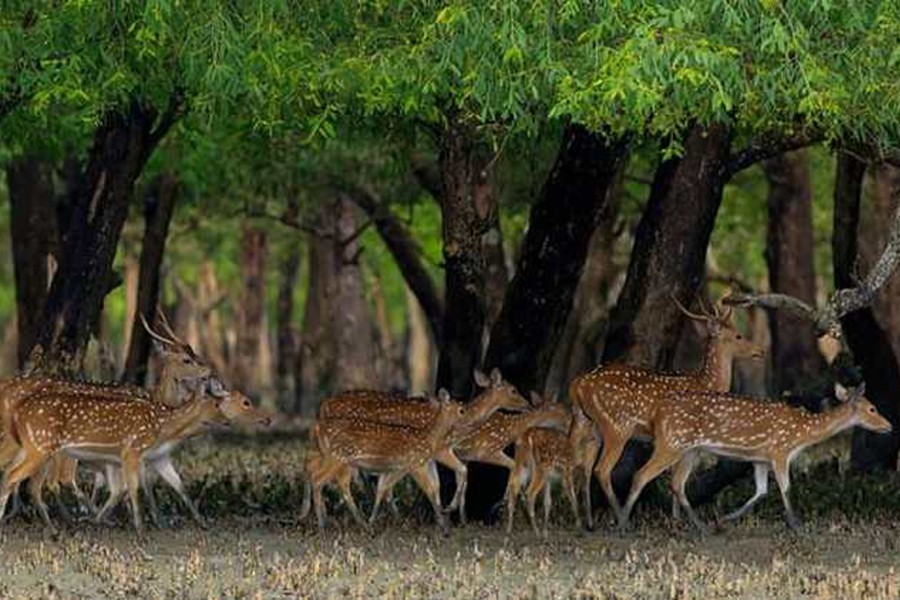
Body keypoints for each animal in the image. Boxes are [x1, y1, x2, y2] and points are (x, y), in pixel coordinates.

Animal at [306, 392, 468, 532]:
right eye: (462, 410)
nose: (470, 421)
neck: (429, 437)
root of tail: (316, 425)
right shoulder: (414, 463)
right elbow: (429, 489)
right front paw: (443, 524)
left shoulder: (399, 467)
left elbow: (383, 488)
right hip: (337, 458)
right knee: (318, 479)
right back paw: (323, 525)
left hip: (336, 459)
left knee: (321, 475)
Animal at [506, 404, 596, 536]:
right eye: (590, 424)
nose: (594, 437)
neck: (573, 451)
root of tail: (527, 437)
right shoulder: (566, 471)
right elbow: (573, 497)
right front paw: (579, 526)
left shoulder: (550, 478)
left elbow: (548, 502)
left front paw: (545, 531)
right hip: (541, 466)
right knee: (529, 493)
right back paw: (535, 531)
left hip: (522, 464)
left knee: (513, 486)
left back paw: (509, 528)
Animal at [572, 290, 764, 528]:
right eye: (738, 336)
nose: (760, 350)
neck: (705, 383)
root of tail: (579, 384)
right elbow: (677, 480)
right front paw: (678, 520)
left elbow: (674, 480)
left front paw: (675, 519)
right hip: (617, 426)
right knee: (602, 469)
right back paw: (621, 519)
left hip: (589, 426)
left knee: (584, 468)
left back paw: (588, 521)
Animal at [620, 384, 892, 528]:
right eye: (872, 408)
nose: (889, 426)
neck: (802, 433)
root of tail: (657, 413)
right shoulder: (779, 450)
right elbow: (786, 488)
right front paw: (796, 524)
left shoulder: (760, 458)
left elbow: (761, 491)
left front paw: (726, 518)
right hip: (671, 443)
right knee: (641, 474)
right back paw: (623, 522)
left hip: (690, 450)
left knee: (676, 483)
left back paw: (700, 526)